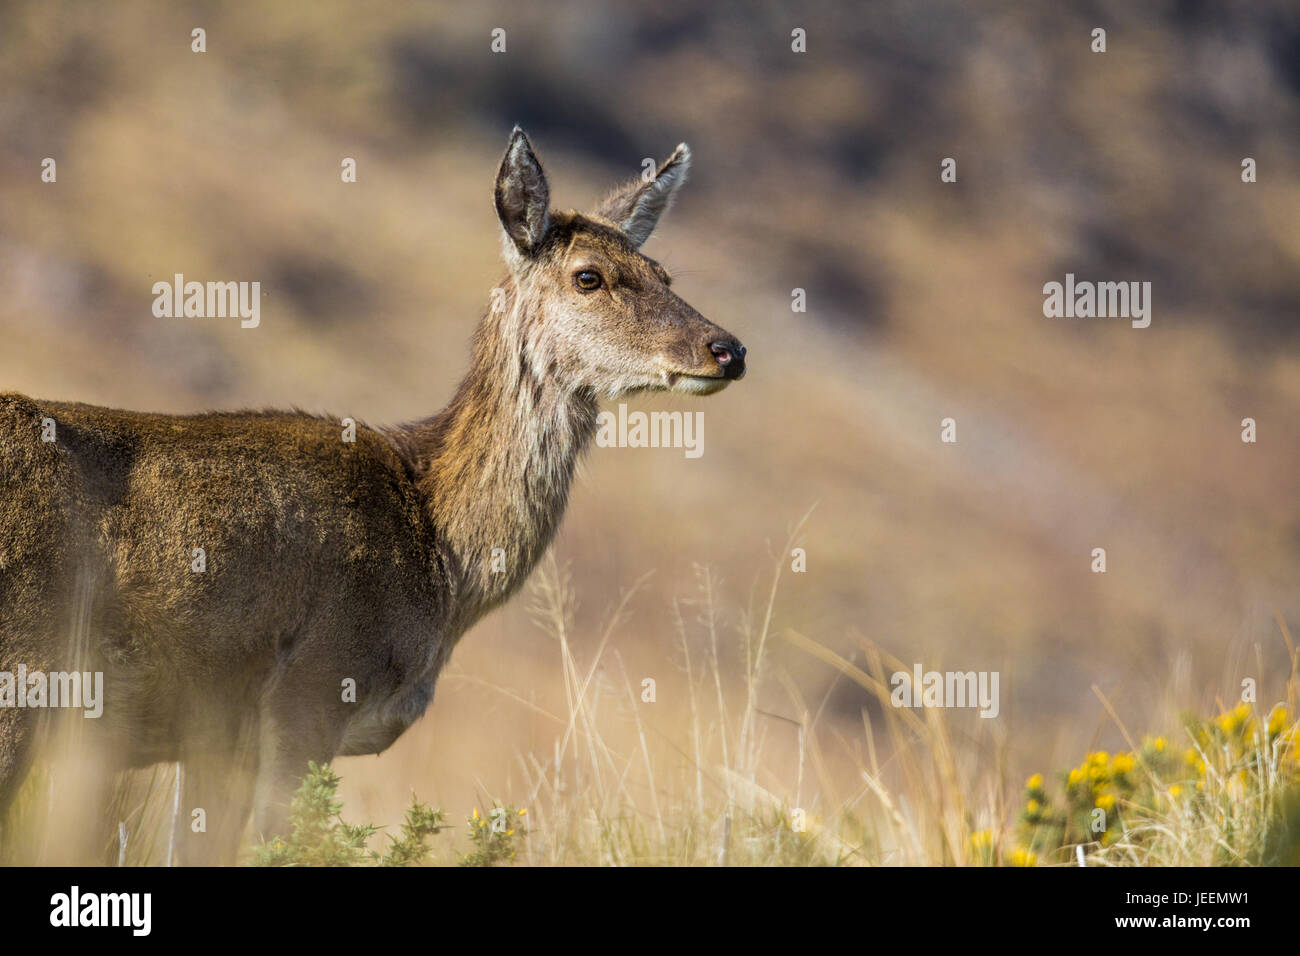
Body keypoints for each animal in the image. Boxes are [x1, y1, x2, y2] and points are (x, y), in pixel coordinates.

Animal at [0, 128, 746, 864]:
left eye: (664, 273)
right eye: (589, 275)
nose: (727, 348)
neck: (442, 555)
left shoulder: (216, 738)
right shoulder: (313, 690)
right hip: (25, 670)